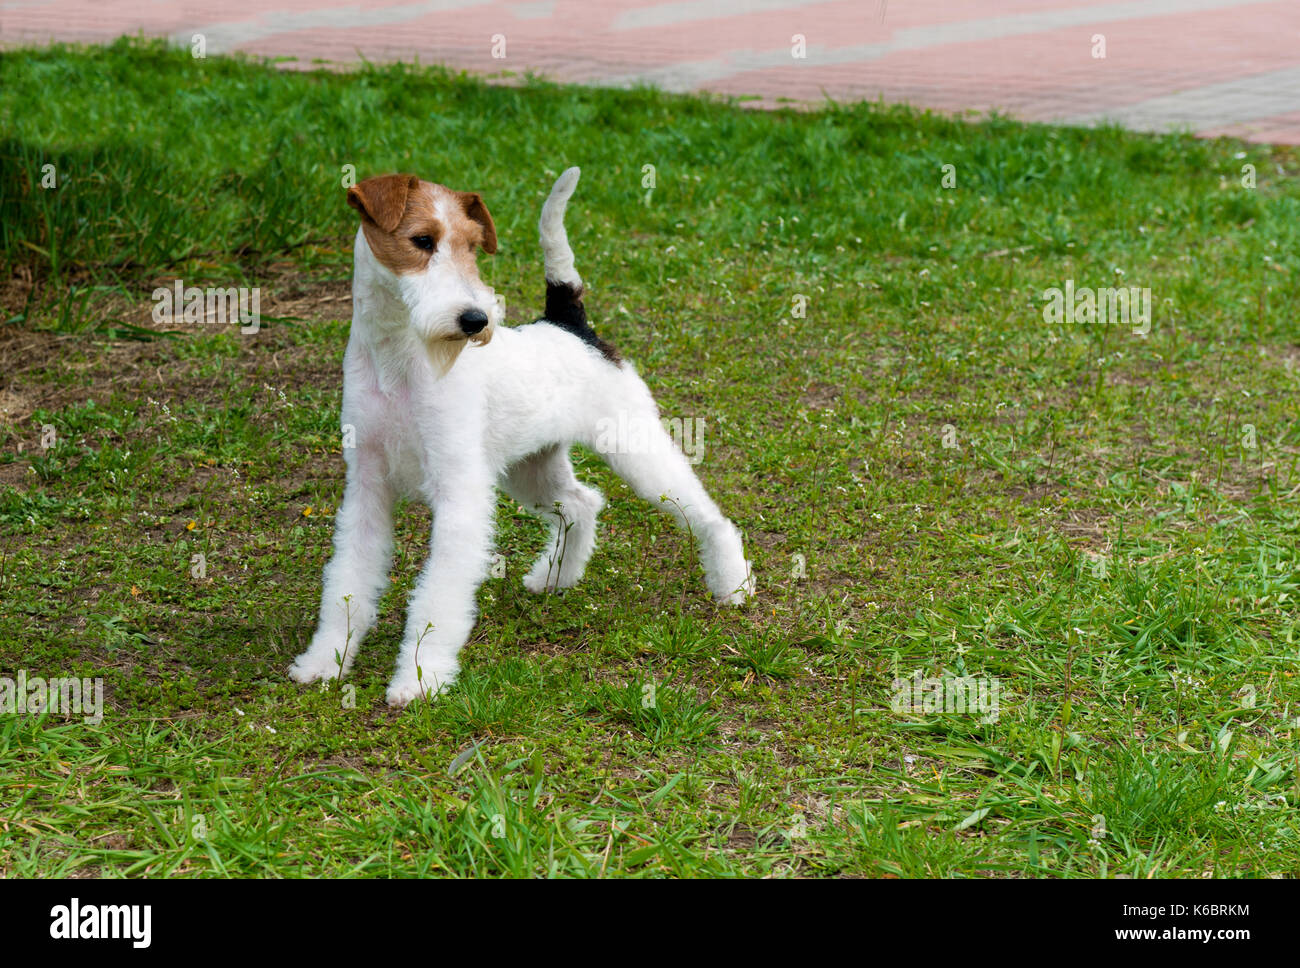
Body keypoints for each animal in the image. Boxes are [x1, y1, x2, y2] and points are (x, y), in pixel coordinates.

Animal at [284, 170, 754, 706]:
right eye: (421, 241)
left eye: (473, 245)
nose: (475, 320)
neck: (396, 358)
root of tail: (571, 325)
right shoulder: (367, 487)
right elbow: (348, 580)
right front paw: (324, 662)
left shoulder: (460, 493)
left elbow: (437, 598)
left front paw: (420, 679)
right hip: (530, 468)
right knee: (582, 503)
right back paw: (553, 577)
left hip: (637, 451)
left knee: (708, 516)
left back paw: (733, 586)